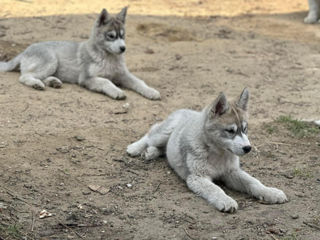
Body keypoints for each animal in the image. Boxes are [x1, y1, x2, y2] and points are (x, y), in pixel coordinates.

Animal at [0, 7, 160, 100]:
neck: (107, 57)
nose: (123, 48)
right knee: (25, 76)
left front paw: (151, 91)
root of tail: (25, 50)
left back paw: (53, 82)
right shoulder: (86, 78)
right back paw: (37, 84)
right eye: (111, 36)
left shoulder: (123, 75)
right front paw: (116, 91)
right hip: (51, 60)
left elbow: (139, 82)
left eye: (123, 35)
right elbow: (106, 81)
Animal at [127, 89, 288, 213]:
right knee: (152, 132)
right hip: (164, 133)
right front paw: (226, 200)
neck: (218, 153)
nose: (248, 148)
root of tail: (186, 110)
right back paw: (135, 148)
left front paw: (270, 192)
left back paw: (151, 152)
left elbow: (253, 182)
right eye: (230, 131)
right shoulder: (197, 177)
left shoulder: (232, 172)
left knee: (163, 148)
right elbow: (215, 189)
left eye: (245, 129)